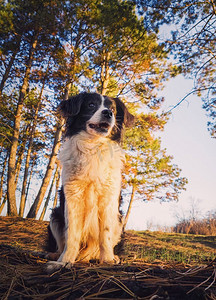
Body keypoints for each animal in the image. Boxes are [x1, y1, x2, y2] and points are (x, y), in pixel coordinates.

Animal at [48, 92, 134, 264]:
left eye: (113, 109)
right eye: (91, 105)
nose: (108, 113)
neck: (93, 146)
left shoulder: (108, 198)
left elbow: (105, 233)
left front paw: (107, 259)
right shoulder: (72, 197)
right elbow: (71, 234)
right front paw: (65, 260)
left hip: (119, 220)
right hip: (54, 215)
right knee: (61, 242)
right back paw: (56, 255)